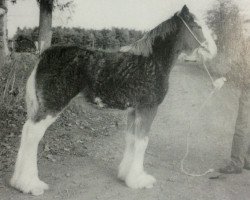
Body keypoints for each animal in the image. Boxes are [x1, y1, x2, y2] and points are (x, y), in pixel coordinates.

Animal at [9, 5, 217, 195]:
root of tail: (44, 55)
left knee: (26, 131)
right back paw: (30, 184)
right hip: (52, 105)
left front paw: (126, 175)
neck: (152, 61)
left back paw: (18, 182)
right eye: (197, 26)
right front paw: (139, 180)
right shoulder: (148, 108)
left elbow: (131, 139)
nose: (214, 51)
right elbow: (142, 141)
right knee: (32, 134)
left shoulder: (134, 110)